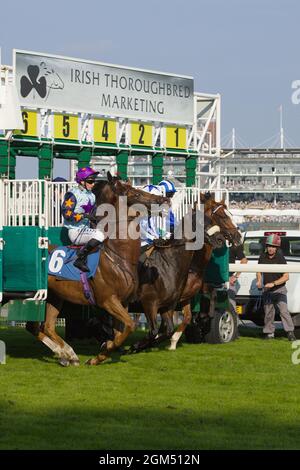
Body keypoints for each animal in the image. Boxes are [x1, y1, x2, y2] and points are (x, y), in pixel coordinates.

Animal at [25, 174, 169, 366]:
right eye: (134, 193)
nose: (164, 200)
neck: (118, 256)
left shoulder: (123, 302)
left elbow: (120, 333)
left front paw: (103, 351)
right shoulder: (108, 300)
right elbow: (129, 326)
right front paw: (99, 354)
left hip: (55, 297)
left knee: (45, 326)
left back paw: (68, 354)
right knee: (37, 326)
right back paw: (66, 354)